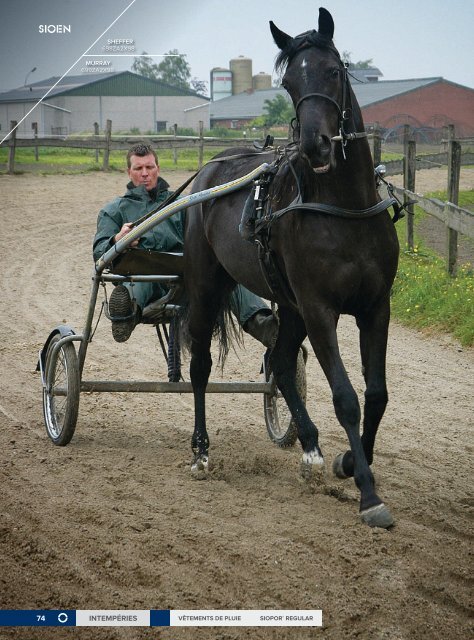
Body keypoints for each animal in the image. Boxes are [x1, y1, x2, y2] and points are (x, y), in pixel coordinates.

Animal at [183, 7, 398, 528]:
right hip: (207, 284)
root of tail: (211, 169)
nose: (315, 145)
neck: (344, 210)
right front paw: (368, 494)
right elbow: (346, 397)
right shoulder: (320, 309)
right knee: (200, 364)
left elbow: (376, 394)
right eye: (288, 84)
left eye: (334, 71)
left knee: (280, 363)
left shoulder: (375, 307)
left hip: (290, 304)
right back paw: (201, 451)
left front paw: (348, 461)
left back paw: (311, 449)